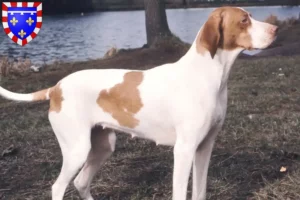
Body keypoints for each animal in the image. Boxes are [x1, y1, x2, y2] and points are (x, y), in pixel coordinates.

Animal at [0, 6, 276, 200]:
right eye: (244, 20)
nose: (275, 29)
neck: (208, 74)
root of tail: (56, 88)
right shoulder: (184, 150)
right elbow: (180, 193)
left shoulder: (204, 148)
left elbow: (200, 192)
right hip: (77, 150)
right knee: (58, 187)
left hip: (103, 146)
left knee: (80, 182)